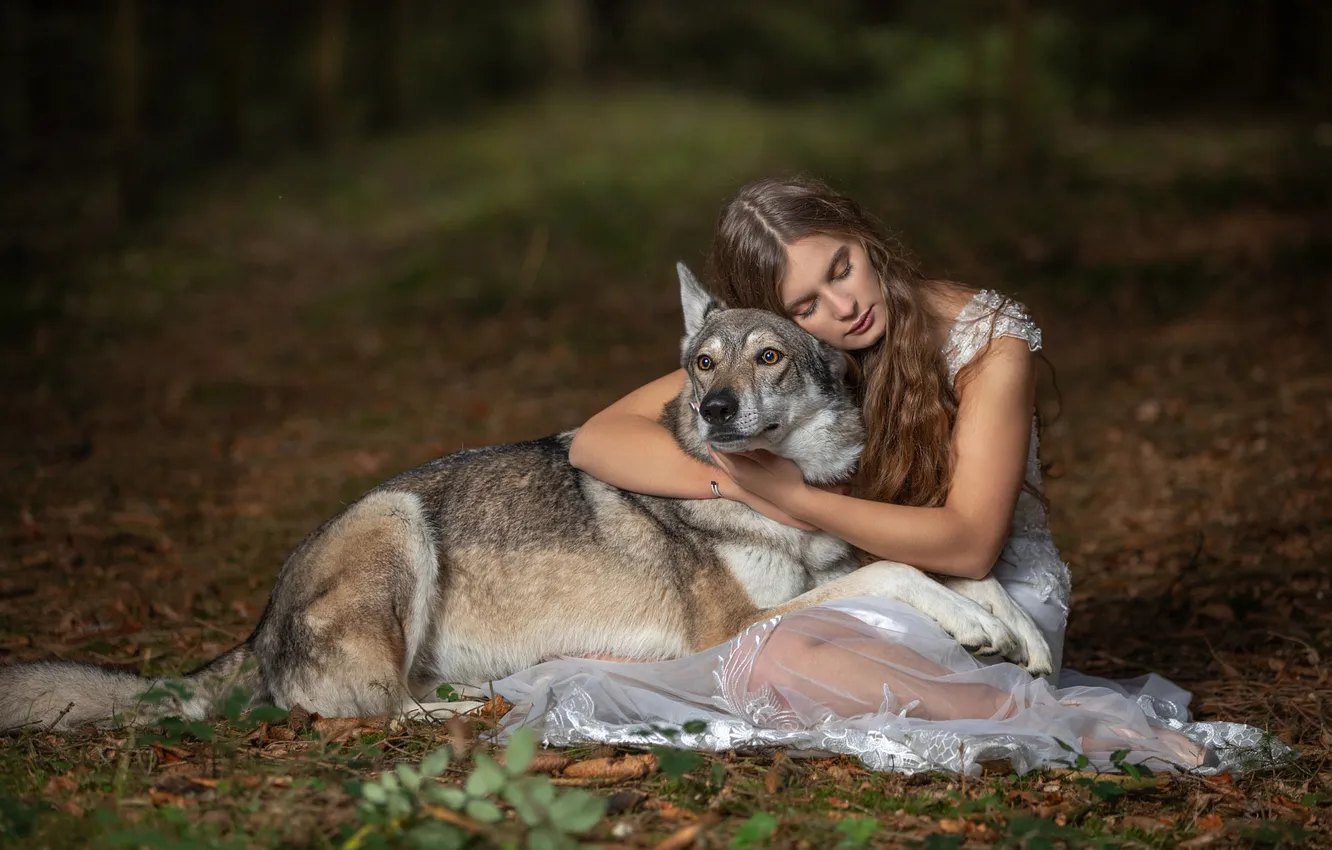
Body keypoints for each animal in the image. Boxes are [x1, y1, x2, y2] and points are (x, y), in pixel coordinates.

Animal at [0, 264, 1052, 733]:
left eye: (768, 358)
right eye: (702, 363)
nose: (711, 410)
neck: (774, 492)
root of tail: (255, 625)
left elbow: (947, 569)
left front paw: (1018, 635)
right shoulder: (733, 627)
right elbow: (899, 572)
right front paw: (977, 629)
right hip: (395, 523)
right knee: (364, 707)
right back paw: (459, 711)